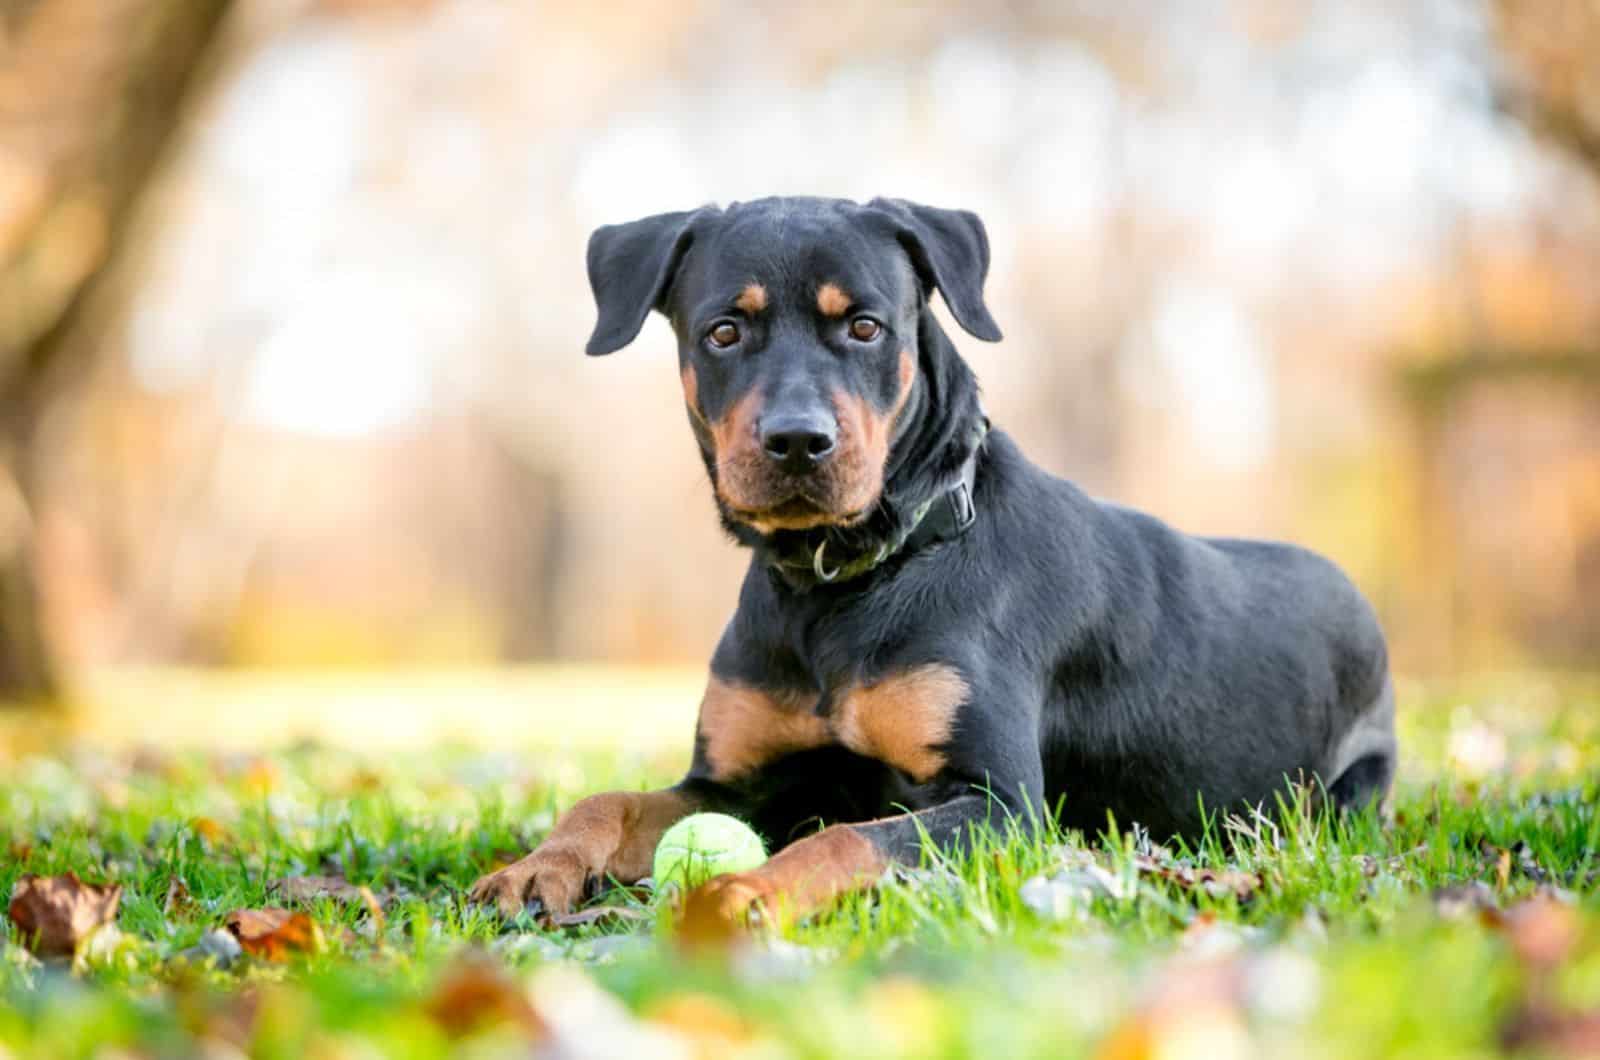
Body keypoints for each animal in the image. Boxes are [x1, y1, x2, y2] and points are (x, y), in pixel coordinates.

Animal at [467, 195, 1395, 928]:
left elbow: (846, 840)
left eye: (866, 326)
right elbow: (609, 799)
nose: (798, 442)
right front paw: (537, 867)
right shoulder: (740, 781)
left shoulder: (999, 805)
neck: (838, 583)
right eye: (724, 331)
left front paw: (742, 893)